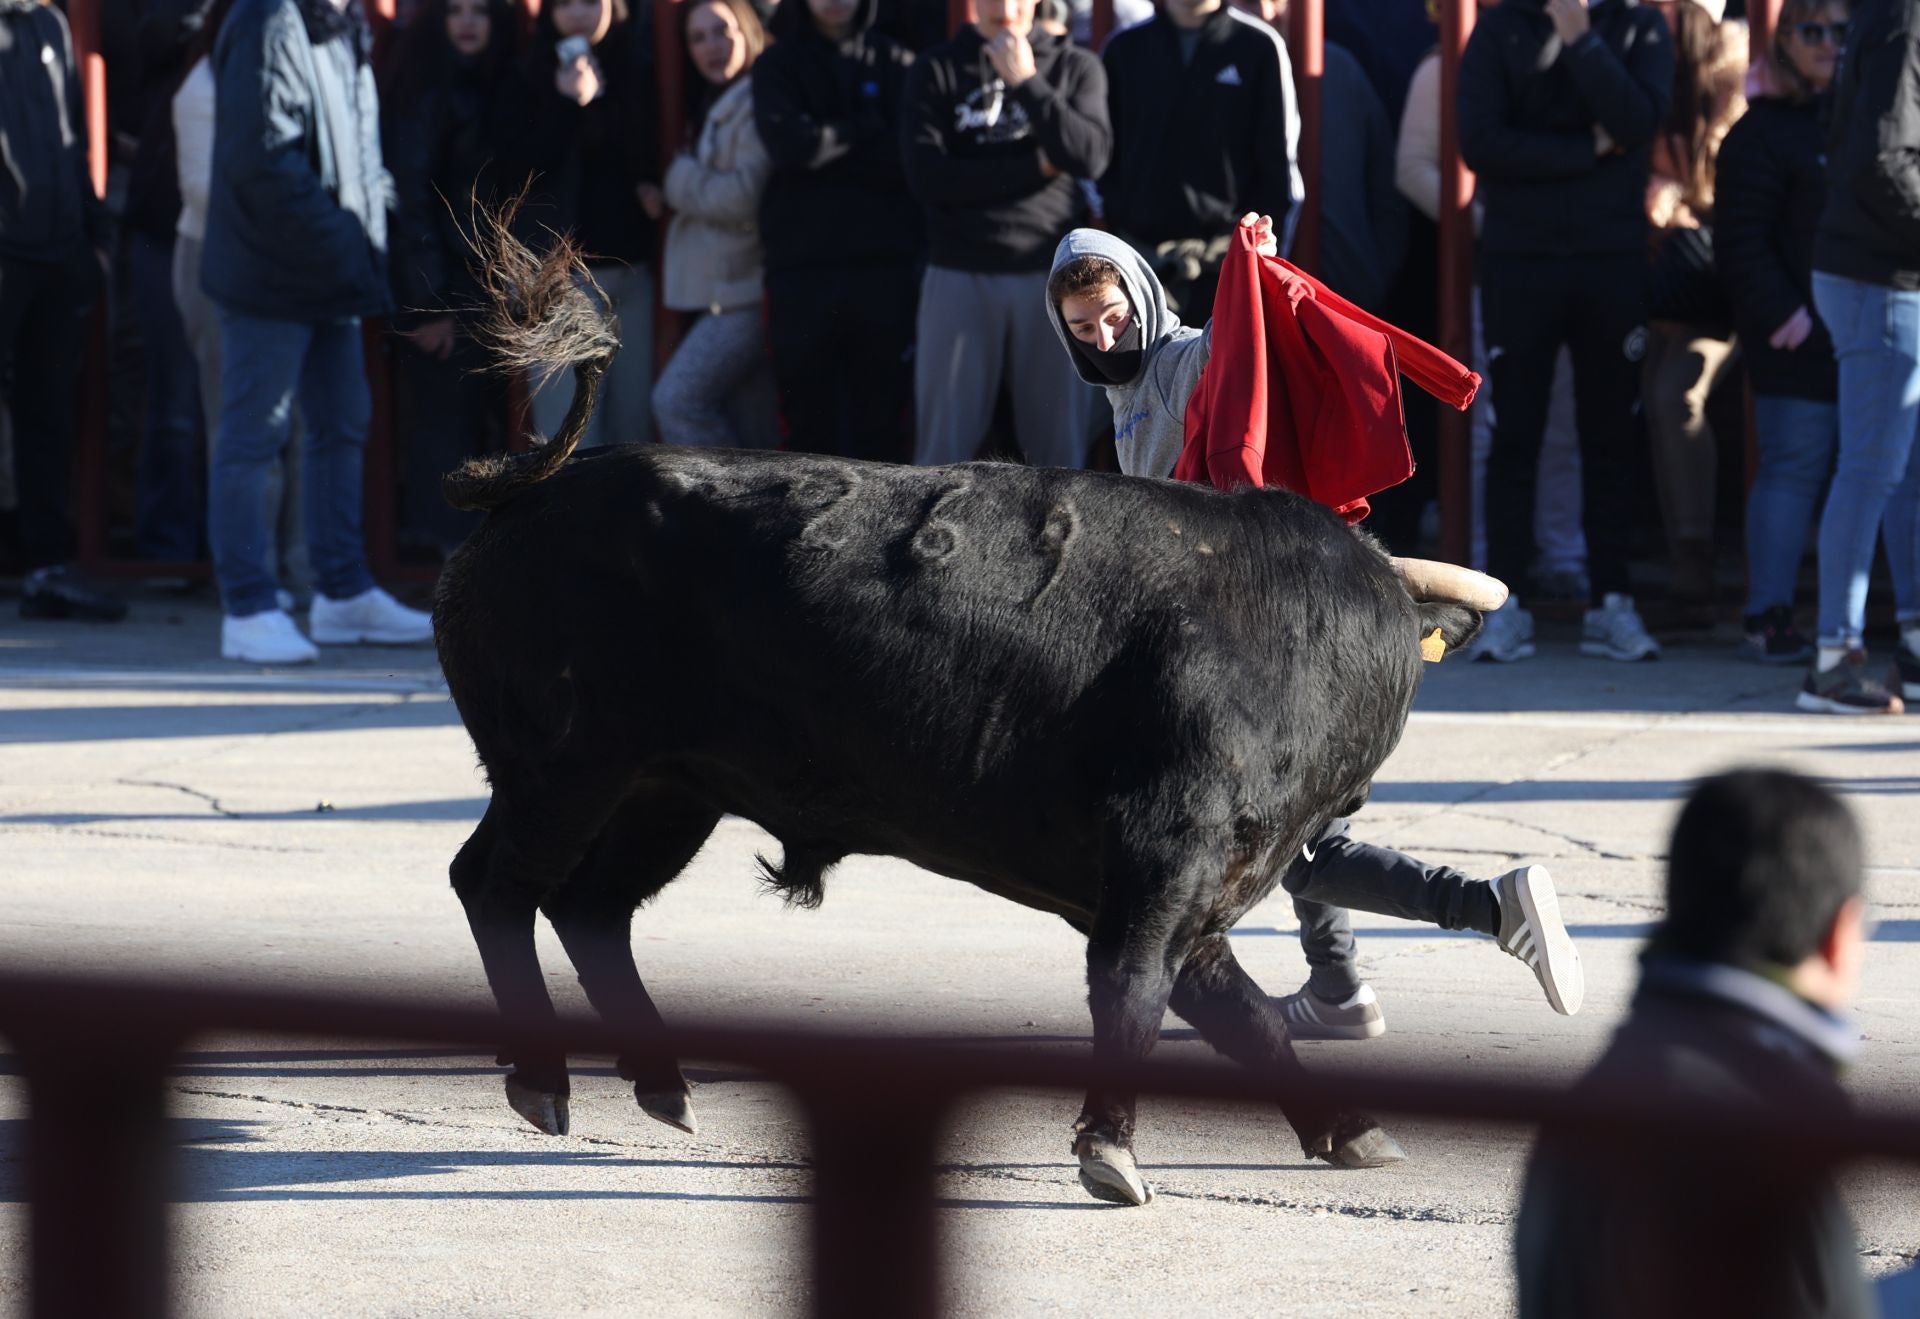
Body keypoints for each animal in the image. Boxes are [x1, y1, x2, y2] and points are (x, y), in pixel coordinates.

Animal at [432, 214, 1482, 1205]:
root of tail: (529, 491)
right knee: (496, 885)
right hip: (564, 770)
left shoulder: (1193, 886)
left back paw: (662, 1085)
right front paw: (1109, 1149)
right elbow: (1134, 993)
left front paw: (1349, 1127)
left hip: (667, 790)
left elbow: (1243, 1014)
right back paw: (543, 1080)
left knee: (591, 908)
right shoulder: (1163, 856)